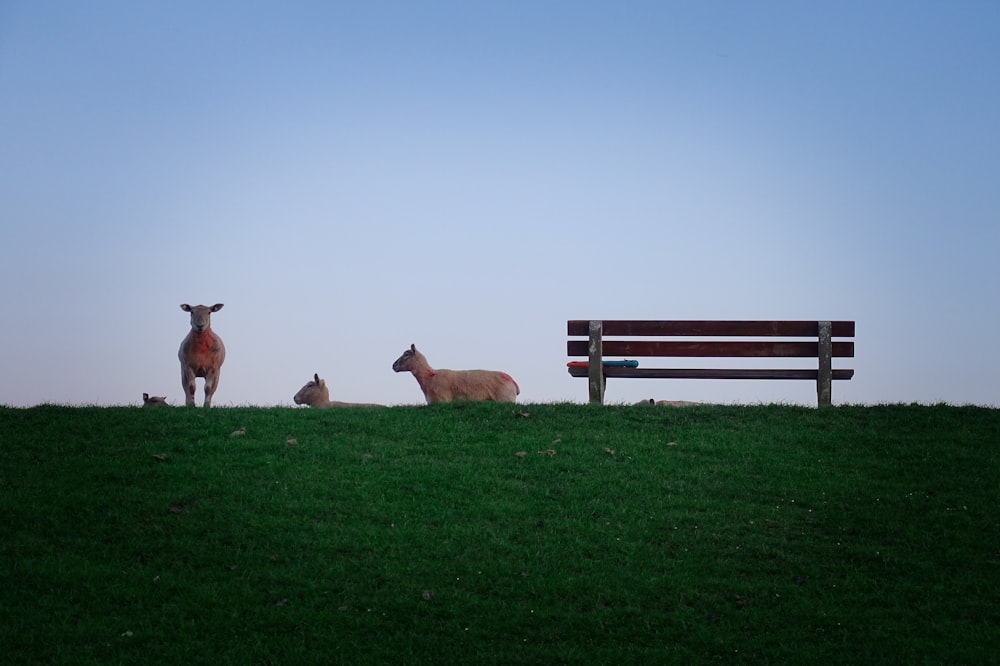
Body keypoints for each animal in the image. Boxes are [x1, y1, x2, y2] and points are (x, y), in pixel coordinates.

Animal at [390, 344, 520, 402]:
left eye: (406, 354)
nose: (393, 365)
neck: (429, 377)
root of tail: (513, 381)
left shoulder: (442, 400)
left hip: (505, 398)